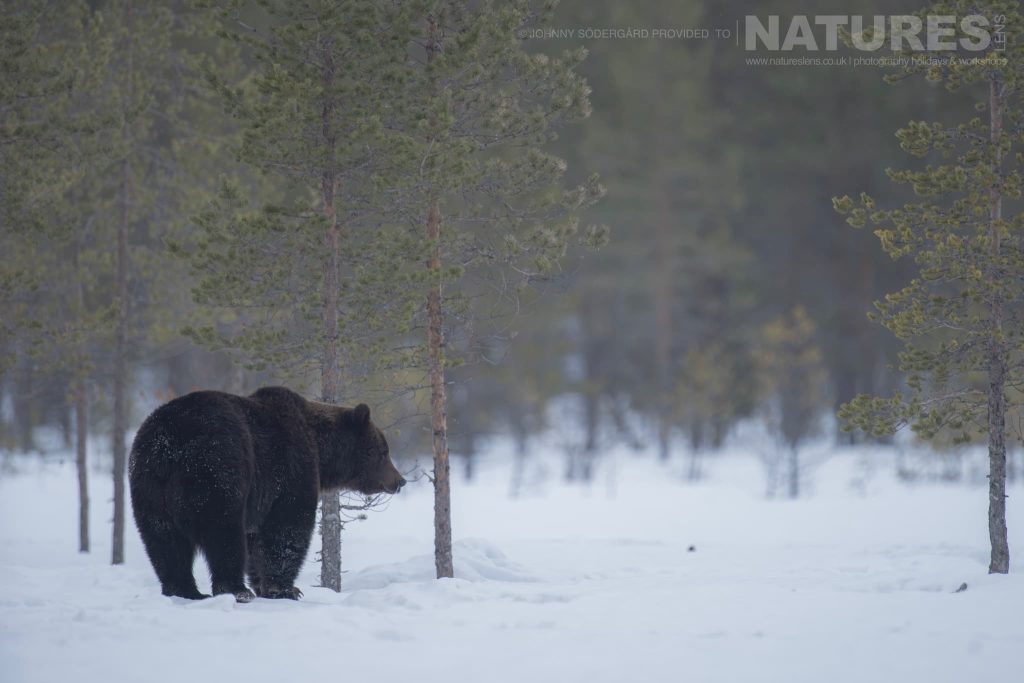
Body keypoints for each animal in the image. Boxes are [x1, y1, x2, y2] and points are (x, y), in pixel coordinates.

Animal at [128, 386, 405, 602]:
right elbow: (287, 529)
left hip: (148, 486)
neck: (320, 449)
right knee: (223, 534)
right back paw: (236, 590)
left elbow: (256, 540)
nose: (399, 480)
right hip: (217, 471)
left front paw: (263, 583)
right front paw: (286, 589)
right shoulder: (291, 470)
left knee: (165, 542)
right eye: (383, 451)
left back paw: (185, 591)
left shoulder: (260, 498)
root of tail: (170, 444)